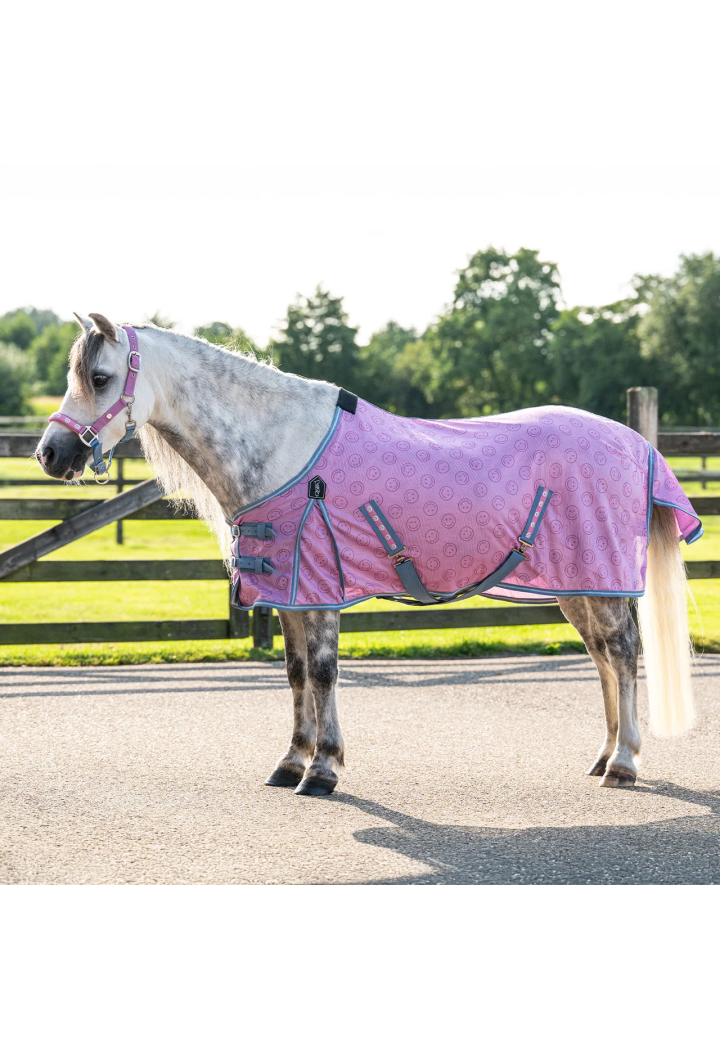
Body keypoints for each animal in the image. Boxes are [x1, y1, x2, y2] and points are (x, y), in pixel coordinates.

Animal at [36, 314, 699, 796]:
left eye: (100, 377)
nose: (50, 453)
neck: (283, 447)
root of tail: (635, 441)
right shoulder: (292, 592)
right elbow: (296, 674)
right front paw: (291, 762)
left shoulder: (320, 587)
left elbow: (324, 673)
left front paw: (323, 770)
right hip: (578, 585)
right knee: (602, 658)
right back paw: (604, 756)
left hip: (602, 580)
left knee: (623, 653)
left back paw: (625, 764)